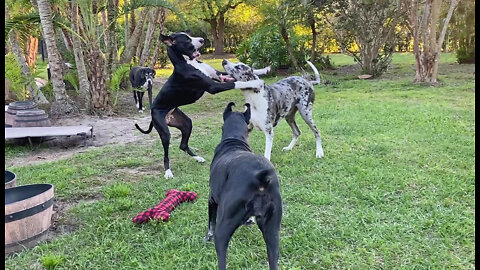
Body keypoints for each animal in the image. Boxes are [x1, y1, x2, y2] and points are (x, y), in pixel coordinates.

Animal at [133, 31, 264, 178]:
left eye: (189, 34)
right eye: (187, 39)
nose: (202, 39)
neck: (188, 62)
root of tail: (153, 111)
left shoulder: (218, 76)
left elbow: (234, 76)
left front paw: (259, 71)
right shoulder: (213, 86)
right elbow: (237, 82)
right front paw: (255, 83)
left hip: (186, 124)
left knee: (183, 145)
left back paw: (198, 158)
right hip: (164, 132)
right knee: (166, 153)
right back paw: (168, 171)